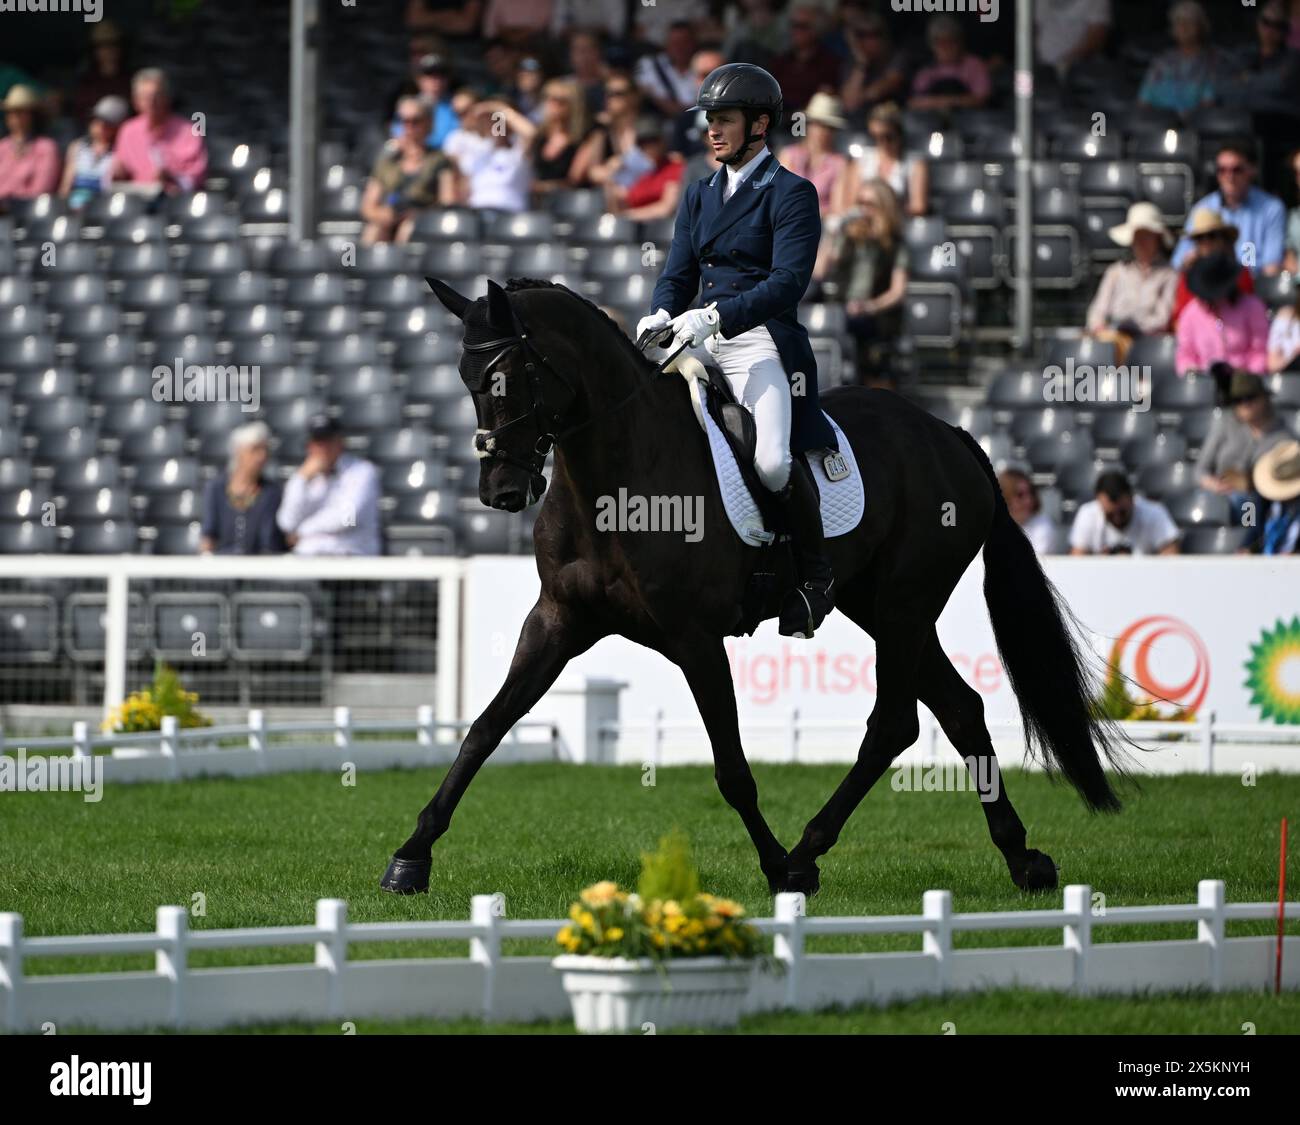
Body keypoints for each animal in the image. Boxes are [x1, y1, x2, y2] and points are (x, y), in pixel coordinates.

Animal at [379, 274, 1128, 894]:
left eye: (509, 375)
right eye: (467, 378)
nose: (500, 490)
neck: (616, 478)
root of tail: (952, 435)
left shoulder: (695, 639)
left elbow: (732, 768)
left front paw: (773, 866)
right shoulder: (557, 620)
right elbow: (484, 728)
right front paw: (410, 859)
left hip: (905, 605)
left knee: (893, 723)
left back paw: (806, 854)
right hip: (882, 607)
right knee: (959, 709)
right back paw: (1023, 859)